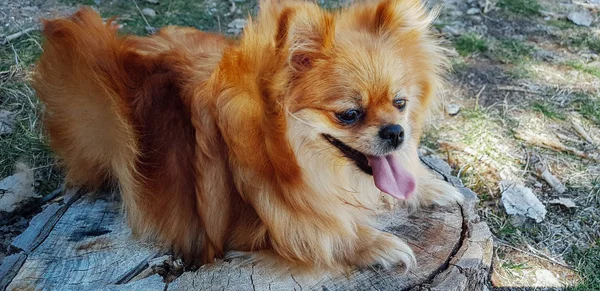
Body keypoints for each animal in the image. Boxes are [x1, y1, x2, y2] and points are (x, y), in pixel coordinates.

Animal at [32, 0, 464, 272]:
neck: (277, 141)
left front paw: (428, 186)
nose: (396, 133)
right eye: (349, 115)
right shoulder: (257, 222)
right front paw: (375, 244)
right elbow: (325, 231)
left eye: (400, 103)